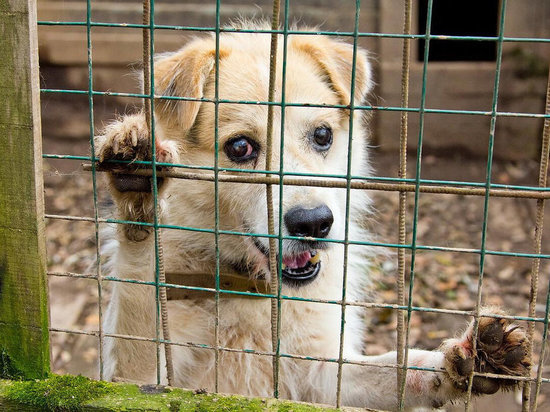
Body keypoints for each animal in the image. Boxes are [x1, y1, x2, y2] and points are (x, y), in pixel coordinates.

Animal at [95, 21, 532, 408]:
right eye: (239, 147)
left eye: (322, 135)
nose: (314, 224)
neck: (251, 287)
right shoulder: (133, 380)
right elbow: (139, 295)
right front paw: (139, 196)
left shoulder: (322, 375)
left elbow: (398, 367)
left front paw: (464, 361)